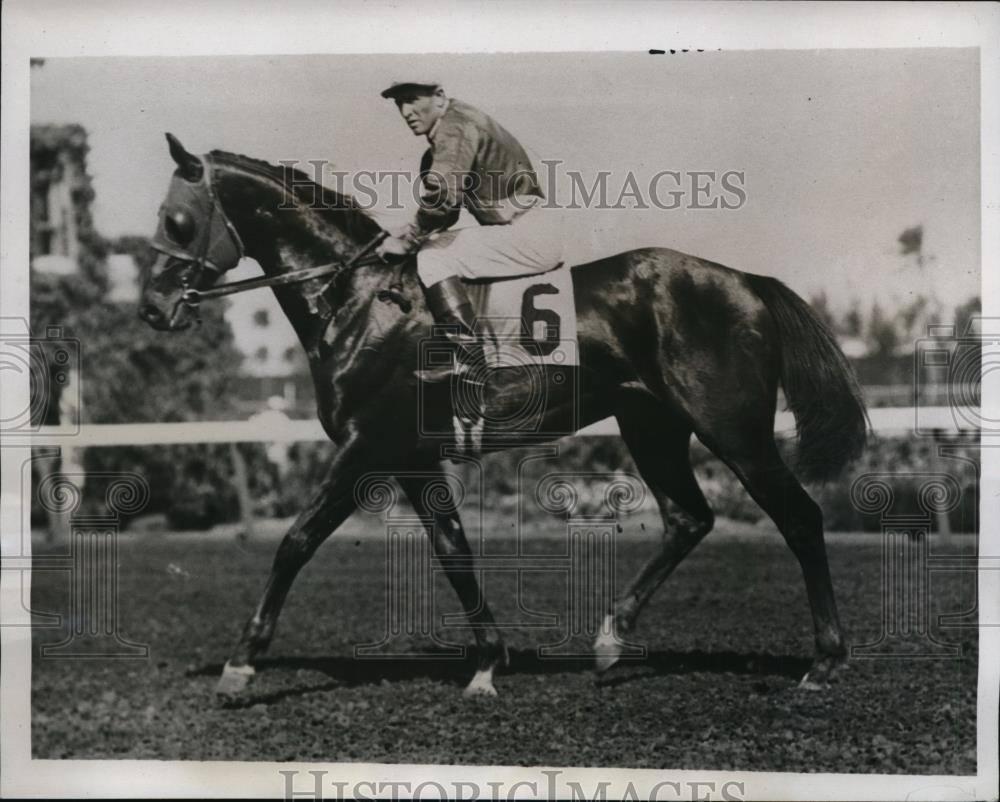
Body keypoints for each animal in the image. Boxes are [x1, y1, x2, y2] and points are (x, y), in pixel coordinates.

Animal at [139, 134, 868, 696]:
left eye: (175, 222)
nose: (151, 308)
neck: (358, 300)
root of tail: (747, 282)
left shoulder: (365, 446)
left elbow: (296, 540)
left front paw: (240, 665)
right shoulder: (411, 457)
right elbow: (453, 551)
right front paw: (489, 663)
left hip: (734, 430)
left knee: (800, 517)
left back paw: (824, 661)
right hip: (651, 425)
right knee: (689, 518)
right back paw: (610, 639)